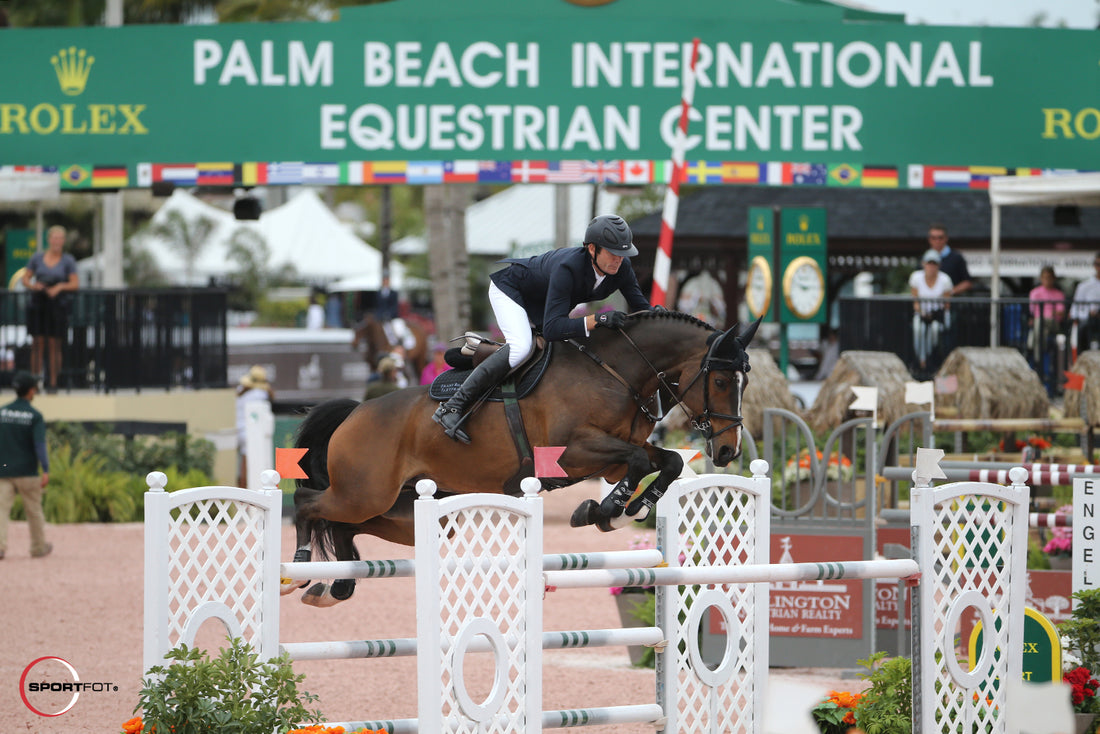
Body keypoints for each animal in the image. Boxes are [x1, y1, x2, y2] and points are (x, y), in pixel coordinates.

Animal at [288, 312, 761, 607]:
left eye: (745, 381)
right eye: (721, 380)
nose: (728, 451)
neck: (614, 371)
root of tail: (356, 412)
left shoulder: (613, 455)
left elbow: (666, 463)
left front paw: (625, 510)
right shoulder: (574, 453)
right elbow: (640, 464)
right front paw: (605, 510)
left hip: (406, 511)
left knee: (345, 524)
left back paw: (337, 586)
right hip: (363, 492)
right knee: (307, 503)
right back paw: (300, 568)